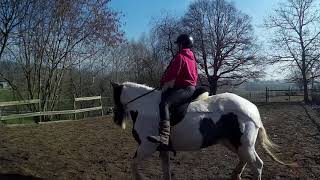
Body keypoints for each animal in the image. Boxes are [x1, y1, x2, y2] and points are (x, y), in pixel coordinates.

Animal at [111, 82, 292, 180]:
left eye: (114, 96)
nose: (115, 118)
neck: (145, 107)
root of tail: (252, 109)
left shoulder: (146, 147)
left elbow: (133, 165)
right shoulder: (163, 149)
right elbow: (165, 170)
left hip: (243, 145)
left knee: (257, 165)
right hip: (233, 143)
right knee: (245, 160)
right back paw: (236, 175)